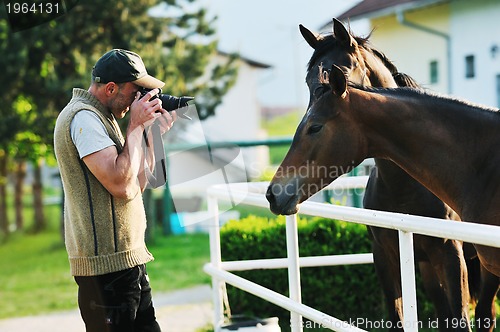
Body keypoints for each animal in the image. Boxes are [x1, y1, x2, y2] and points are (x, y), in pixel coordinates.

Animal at [292, 19, 496, 330]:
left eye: (341, 70)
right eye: (308, 80)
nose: (316, 108)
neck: (404, 188)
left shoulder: (451, 254)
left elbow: (461, 316)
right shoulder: (387, 257)